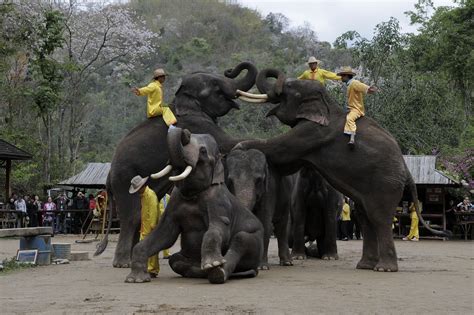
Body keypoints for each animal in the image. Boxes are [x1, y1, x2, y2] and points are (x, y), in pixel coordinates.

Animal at [96, 60, 258, 268]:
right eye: (215, 87)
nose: (229, 70)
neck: (181, 99)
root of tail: (108, 176)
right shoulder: (196, 124)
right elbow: (227, 142)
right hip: (123, 180)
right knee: (131, 217)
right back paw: (123, 264)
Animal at [124, 128, 264, 284]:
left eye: (203, 151)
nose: (185, 132)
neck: (192, 195)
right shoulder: (174, 202)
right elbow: (165, 234)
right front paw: (135, 279)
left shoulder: (218, 202)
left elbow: (219, 229)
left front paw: (212, 263)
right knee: (174, 259)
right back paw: (201, 271)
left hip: (256, 241)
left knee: (241, 239)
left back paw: (217, 272)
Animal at [234, 69, 448, 274]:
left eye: (289, 88)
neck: (327, 103)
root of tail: (406, 168)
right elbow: (288, 164)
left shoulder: (313, 133)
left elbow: (280, 149)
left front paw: (239, 146)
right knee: (365, 218)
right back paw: (365, 266)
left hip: (386, 184)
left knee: (379, 219)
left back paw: (384, 269)